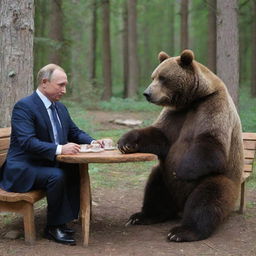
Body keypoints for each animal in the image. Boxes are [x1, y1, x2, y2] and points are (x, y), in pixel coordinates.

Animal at [117, 48, 243, 242]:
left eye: (163, 78)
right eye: (153, 76)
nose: (147, 93)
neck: (193, 100)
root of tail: (180, 205)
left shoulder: (213, 108)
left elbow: (211, 144)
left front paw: (182, 170)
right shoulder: (176, 115)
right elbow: (160, 136)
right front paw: (125, 142)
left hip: (222, 180)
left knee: (206, 198)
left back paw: (182, 231)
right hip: (164, 177)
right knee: (155, 188)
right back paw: (143, 216)